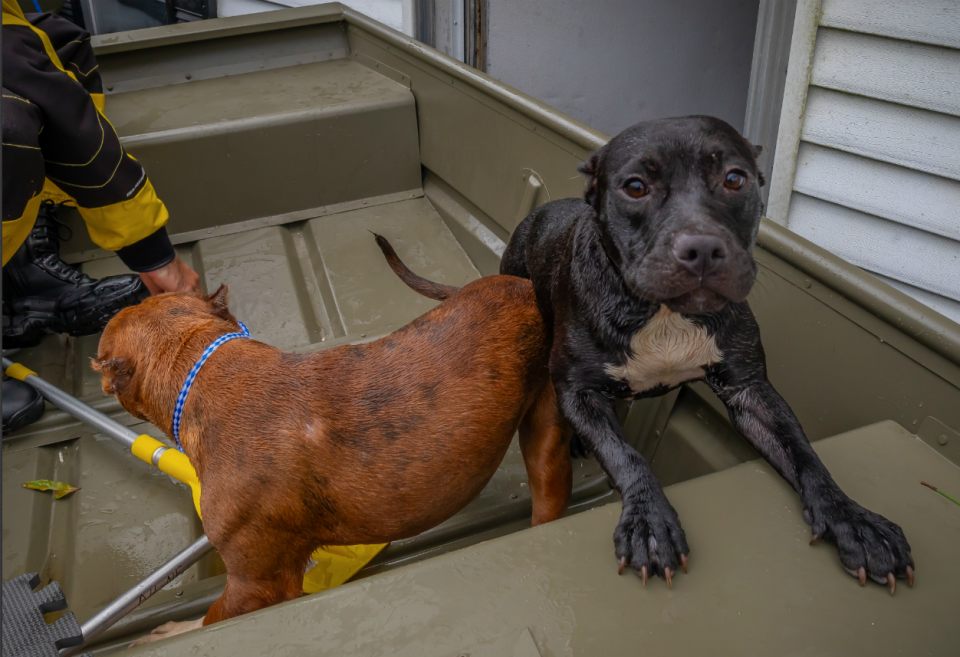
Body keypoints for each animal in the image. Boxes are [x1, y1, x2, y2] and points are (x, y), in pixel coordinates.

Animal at [94, 236, 568, 644]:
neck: (200, 364)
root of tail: (522, 285)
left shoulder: (256, 585)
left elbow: (211, 620)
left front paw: (172, 633)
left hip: (545, 435)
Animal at [502, 115, 916, 592]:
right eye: (636, 187)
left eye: (735, 179)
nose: (701, 248)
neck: (664, 313)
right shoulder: (578, 391)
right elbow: (625, 454)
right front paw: (649, 521)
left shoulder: (750, 391)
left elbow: (804, 454)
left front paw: (852, 520)